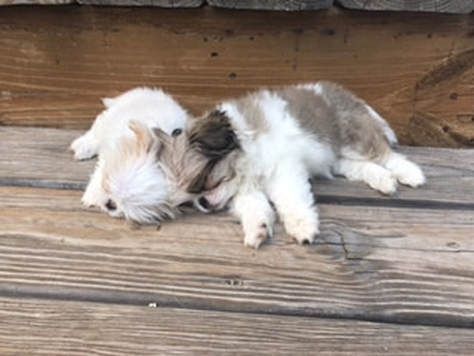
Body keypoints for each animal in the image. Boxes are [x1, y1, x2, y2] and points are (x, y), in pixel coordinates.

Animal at [70, 86, 189, 224]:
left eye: (114, 205)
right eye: (109, 185)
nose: (110, 204)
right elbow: (100, 170)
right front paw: (91, 195)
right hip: (110, 117)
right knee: (97, 130)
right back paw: (84, 146)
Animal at [143, 81, 426, 248]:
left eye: (204, 179)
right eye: (188, 200)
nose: (202, 203)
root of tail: (343, 92)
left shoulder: (282, 170)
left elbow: (291, 200)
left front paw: (301, 226)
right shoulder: (246, 188)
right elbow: (253, 206)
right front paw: (257, 228)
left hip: (351, 136)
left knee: (383, 153)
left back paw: (410, 173)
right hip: (337, 156)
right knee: (359, 166)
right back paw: (384, 180)